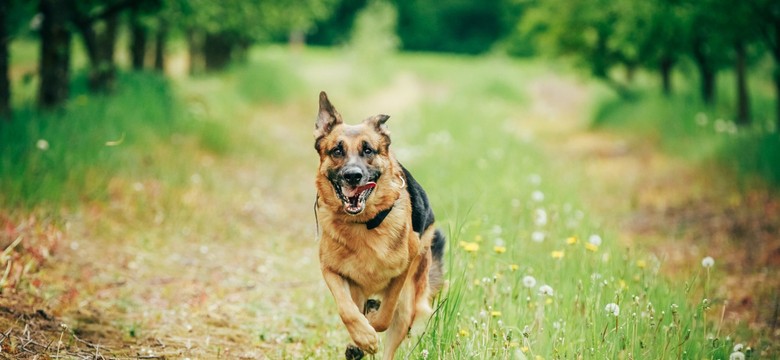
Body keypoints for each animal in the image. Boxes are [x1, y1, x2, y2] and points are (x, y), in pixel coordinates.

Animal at [312, 91, 444, 358]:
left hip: (407, 303)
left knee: (391, 336)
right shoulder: (331, 271)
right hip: (357, 288)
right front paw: (362, 336)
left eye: (368, 150)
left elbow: (384, 317)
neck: (363, 224)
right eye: (337, 151)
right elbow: (347, 310)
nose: (353, 176)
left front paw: (368, 331)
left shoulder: (401, 274)